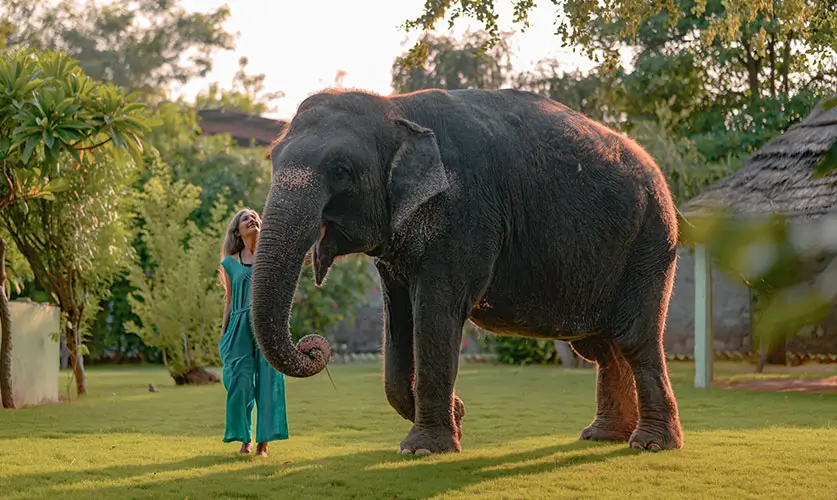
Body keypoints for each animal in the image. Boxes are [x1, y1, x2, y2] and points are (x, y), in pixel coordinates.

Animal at [250, 87, 684, 456]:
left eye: (341, 170)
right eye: (271, 159)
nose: (313, 346)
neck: (395, 107)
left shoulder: (465, 215)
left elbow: (436, 314)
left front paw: (424, 448)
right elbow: (399, 321)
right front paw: (454, 419)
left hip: (651, 243)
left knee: (633, 339)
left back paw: (650, 444)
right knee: (603, 348)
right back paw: (602, 436)